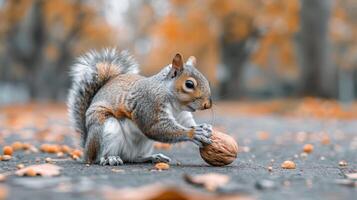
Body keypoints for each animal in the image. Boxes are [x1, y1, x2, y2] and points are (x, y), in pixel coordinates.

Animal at [67, 48, 211, 166]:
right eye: (189, 84)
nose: (208, 104)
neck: (176, 104)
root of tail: (86, 150)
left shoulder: (181, 114)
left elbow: (186, 122)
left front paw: (204, 127)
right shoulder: (149, 104)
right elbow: (155, 127)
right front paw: (193, 133)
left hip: (143, 145)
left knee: (133, 158)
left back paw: (152, 157)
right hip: (107, 128)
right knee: (100, 157)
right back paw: (110, 158)